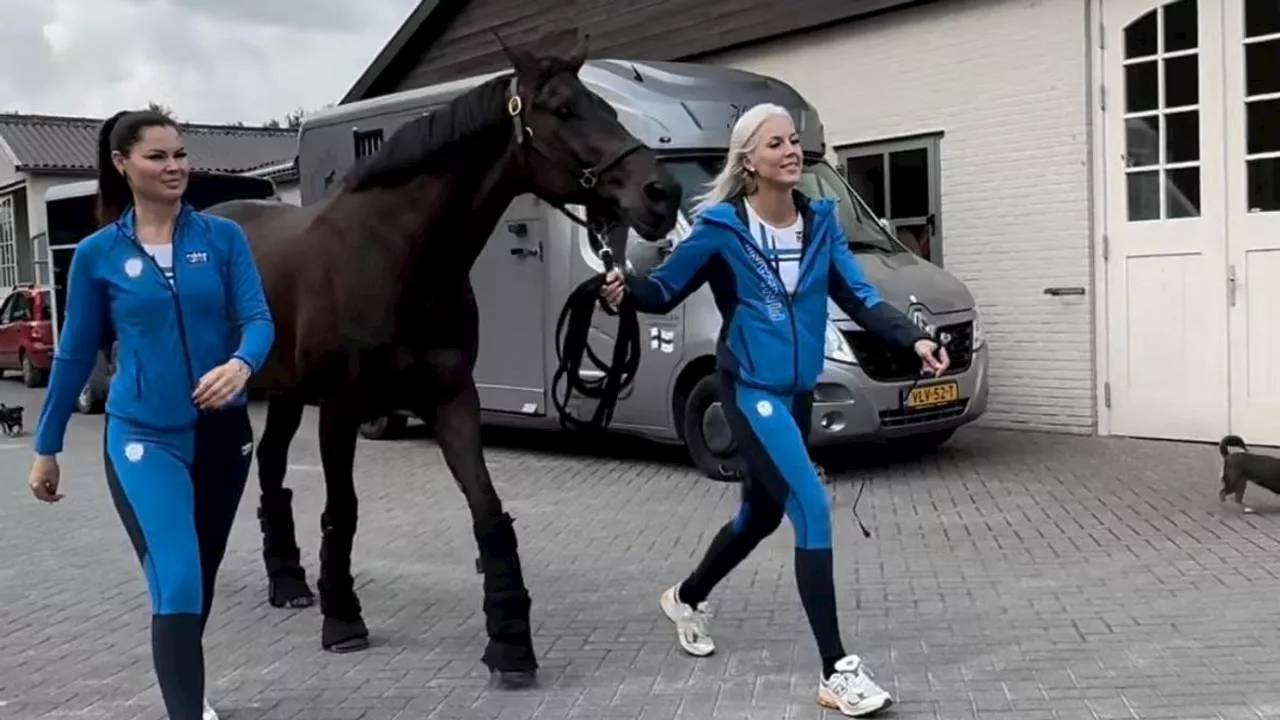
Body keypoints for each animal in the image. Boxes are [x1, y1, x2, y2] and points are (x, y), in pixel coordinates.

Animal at [202, 37, 680, 681]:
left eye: (604, 106)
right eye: (563, 110)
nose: (662, 194)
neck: (400, 259)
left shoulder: (453, 398)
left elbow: (487, 508)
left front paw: (510, 639)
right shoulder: (341, 409)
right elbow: (342, 509)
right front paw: (343, 618)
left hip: (285, 393)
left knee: (273, 467)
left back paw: (289, 583)